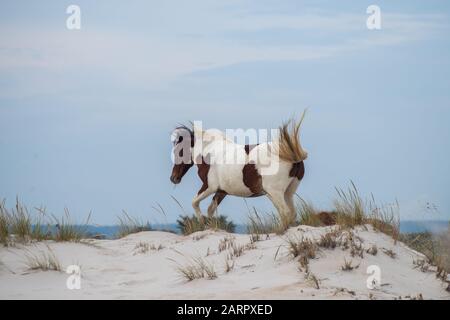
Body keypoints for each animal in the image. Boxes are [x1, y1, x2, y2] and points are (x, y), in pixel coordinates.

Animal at [171, 117, 308, 228]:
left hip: (275, 193)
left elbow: (194, 202)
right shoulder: (221, 191)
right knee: (291, 213)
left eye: (180, 151)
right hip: (287, 192)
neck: (210, 153)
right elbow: (210, 210)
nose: (173, 178)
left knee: (285, 213)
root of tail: (292, 153)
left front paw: (202, 222)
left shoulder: (209, 187)